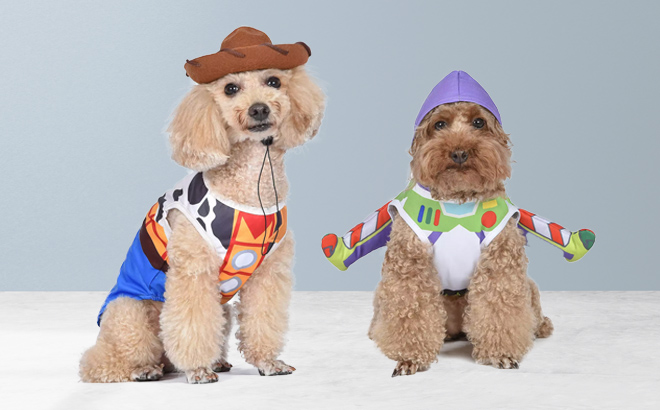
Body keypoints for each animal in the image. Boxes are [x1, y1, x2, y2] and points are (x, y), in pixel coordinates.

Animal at [79, 54, 324, 382]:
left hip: (221, 308)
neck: (250, 185)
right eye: (230, 88)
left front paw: (268, 362)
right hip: (129, 310)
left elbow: (263, 319)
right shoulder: (193, 270)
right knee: (103, 361)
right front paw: (197, 369)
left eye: (274, 81)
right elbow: (192, 322)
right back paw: (144, 368)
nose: (259, 108)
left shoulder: (269, 272)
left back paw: (214, 361)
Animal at [372, 100, 552, 378]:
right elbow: (411, 310)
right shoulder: (408, 266)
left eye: (479, 122)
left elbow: (499, 309)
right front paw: (411, 357)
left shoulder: (501, 265)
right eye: (439, 124)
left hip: (528, 287)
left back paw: (541, 325)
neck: (457, 199)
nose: (459, 153)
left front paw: (500, 353)